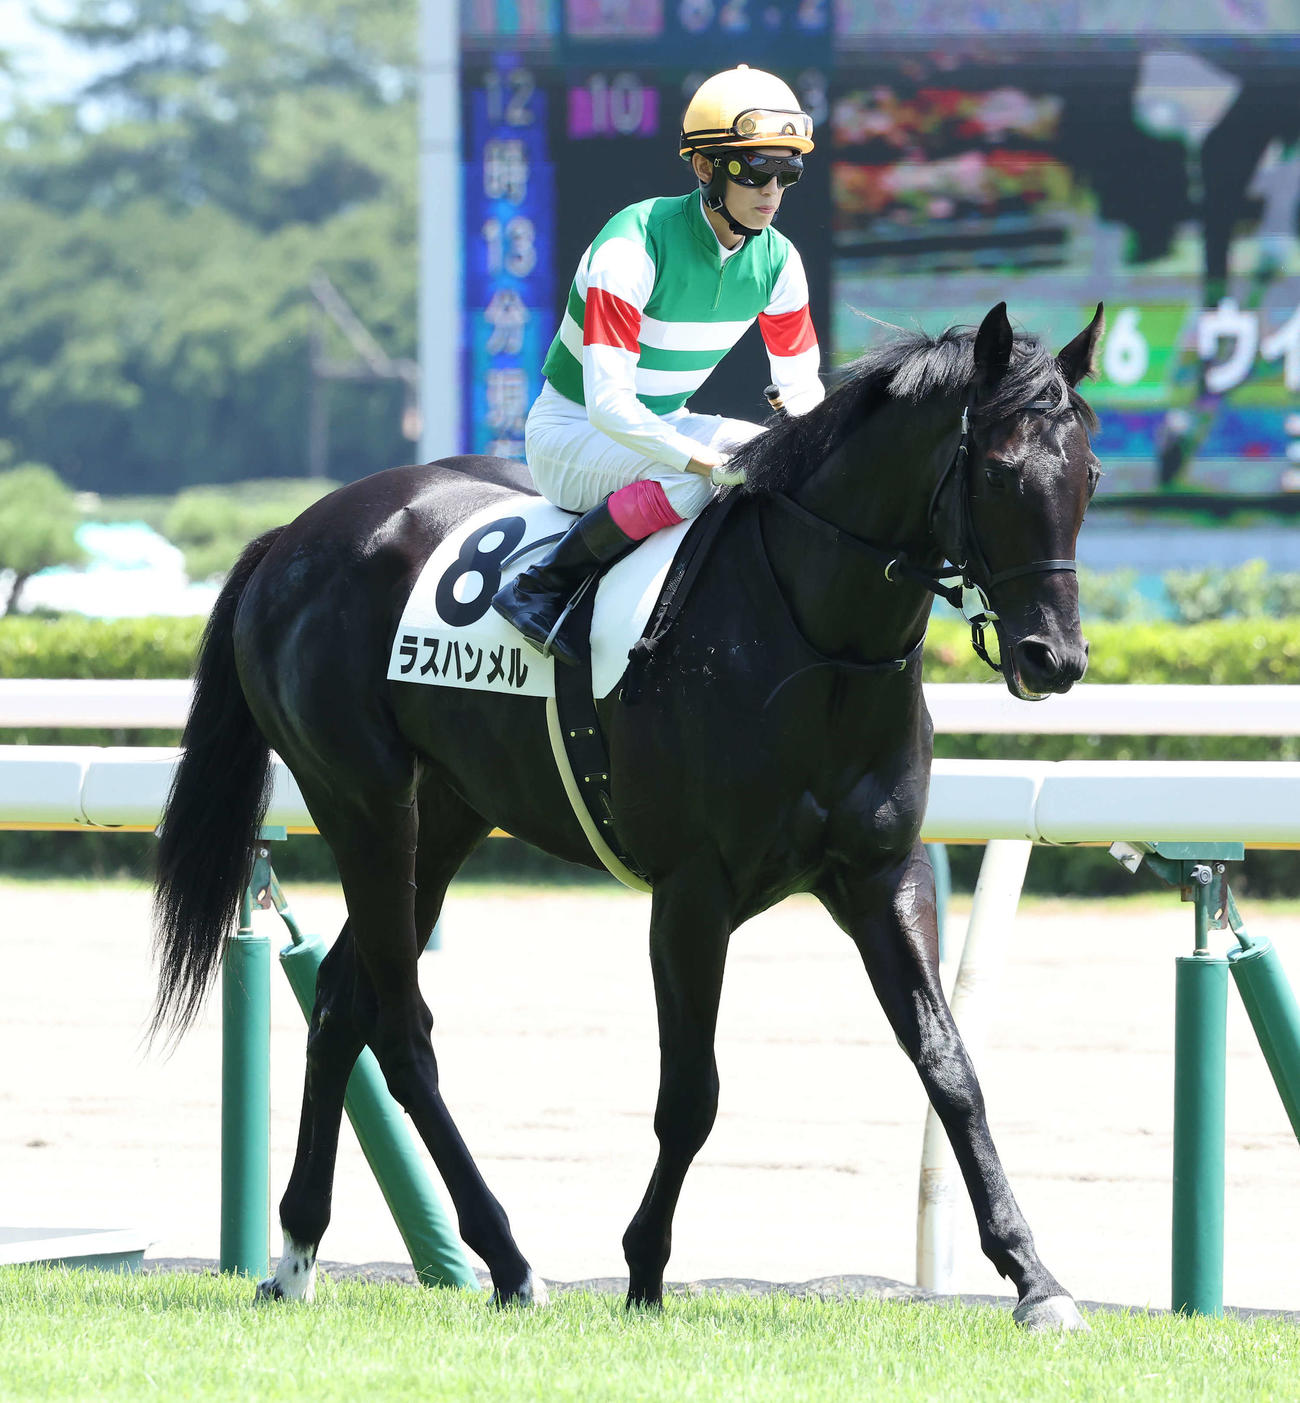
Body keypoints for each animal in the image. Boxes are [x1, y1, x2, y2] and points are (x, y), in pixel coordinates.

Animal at [152, 301, 1104, 1331]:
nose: (1053, 658)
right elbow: (690, 1093)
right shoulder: (691, 890)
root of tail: (291, 533)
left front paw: (1036, 1276)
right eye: (999, 472)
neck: (814, 641)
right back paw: (509, 1259)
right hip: (362, 800)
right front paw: (644, 1268)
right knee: (403, 1030)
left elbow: (949, 1066)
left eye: (1089, 474)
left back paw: (295, 1252)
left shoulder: (882, 872)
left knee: (339, 1001)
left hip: (443, 816)